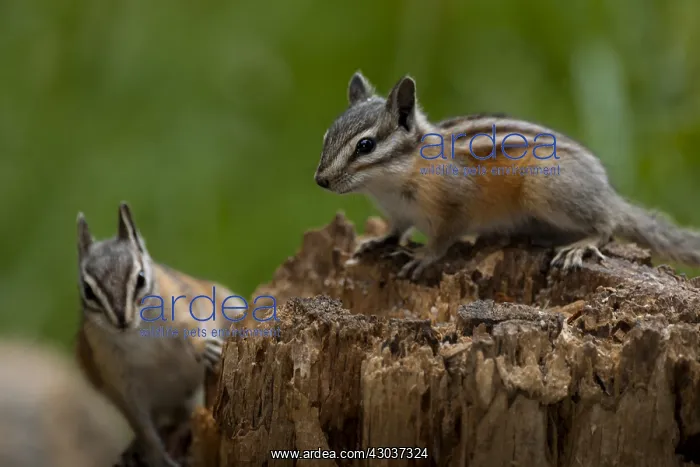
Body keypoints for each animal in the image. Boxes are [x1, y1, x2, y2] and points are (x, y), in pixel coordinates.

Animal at [75, 202, 246, 467]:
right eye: (88, 290)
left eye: (141, 278)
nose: (121, 320)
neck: (137, 332)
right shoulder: (122, 386)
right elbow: (143, 428)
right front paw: (157, 456)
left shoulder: (183, 310)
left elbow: (195, 330)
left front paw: (206, 348)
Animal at [314, 71, 700, 281]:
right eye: (326, 136)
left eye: (365, 146)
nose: (321, 181)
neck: (390, 184)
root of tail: (609, 194)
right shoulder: (398, 213)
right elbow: (396, 230)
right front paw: (376, 241)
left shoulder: (455, 205)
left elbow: (444, 238)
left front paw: (423, 257)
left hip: (546, 187)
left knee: (606, 225)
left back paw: (580, 244)